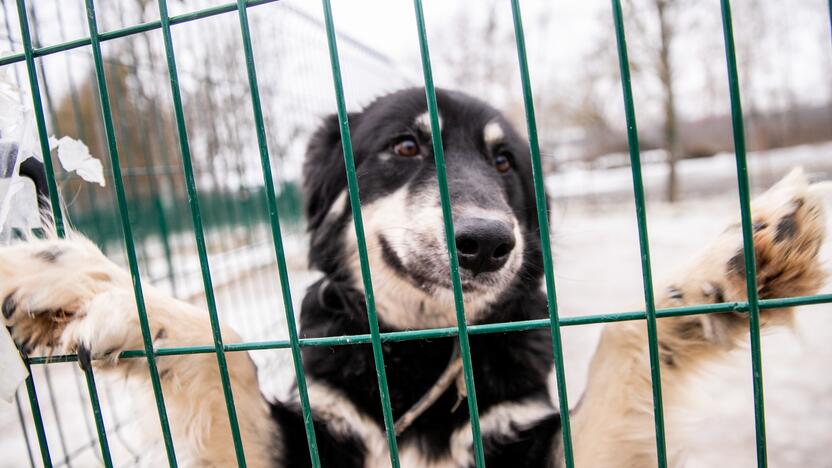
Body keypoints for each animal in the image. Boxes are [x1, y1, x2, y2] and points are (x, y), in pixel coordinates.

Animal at [3, 88, 828, 468]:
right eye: (404, 147)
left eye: (505, 162)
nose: (488, 243)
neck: (423, 348)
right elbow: (224, 355)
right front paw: (78, 283)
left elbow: (623, 341)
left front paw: (729, 268)